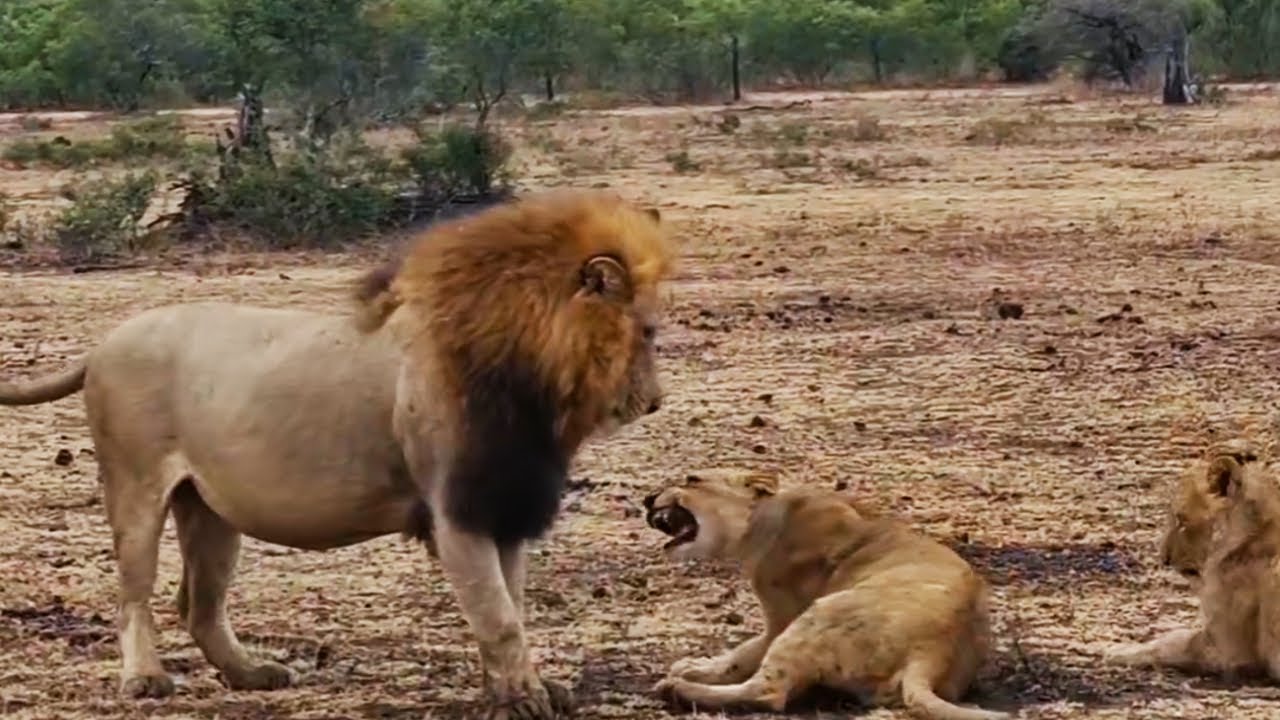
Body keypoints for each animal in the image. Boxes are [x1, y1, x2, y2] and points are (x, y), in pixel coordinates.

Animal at [0, 189, 674, 720]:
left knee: (199, 604)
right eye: (649, 332)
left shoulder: (504, 501)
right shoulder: (454, 509)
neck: (530, 378)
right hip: (135, 484)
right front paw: (524, 697)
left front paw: (518, 689)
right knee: (134, 592)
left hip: (211, 508)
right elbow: (499, 617)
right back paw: (146, 680)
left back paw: (252, 674)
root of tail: (103, 343)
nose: (656, 402)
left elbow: (513, 607)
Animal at [642, 470, 1008, 720]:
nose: (647, 498)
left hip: (818, 615)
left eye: (692, 479)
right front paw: (694, 664)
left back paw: (676, 690)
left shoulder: (781, 620)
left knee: (768, 693)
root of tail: (932, 653)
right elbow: (739, 654)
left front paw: (690, 671)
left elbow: (746, 652)